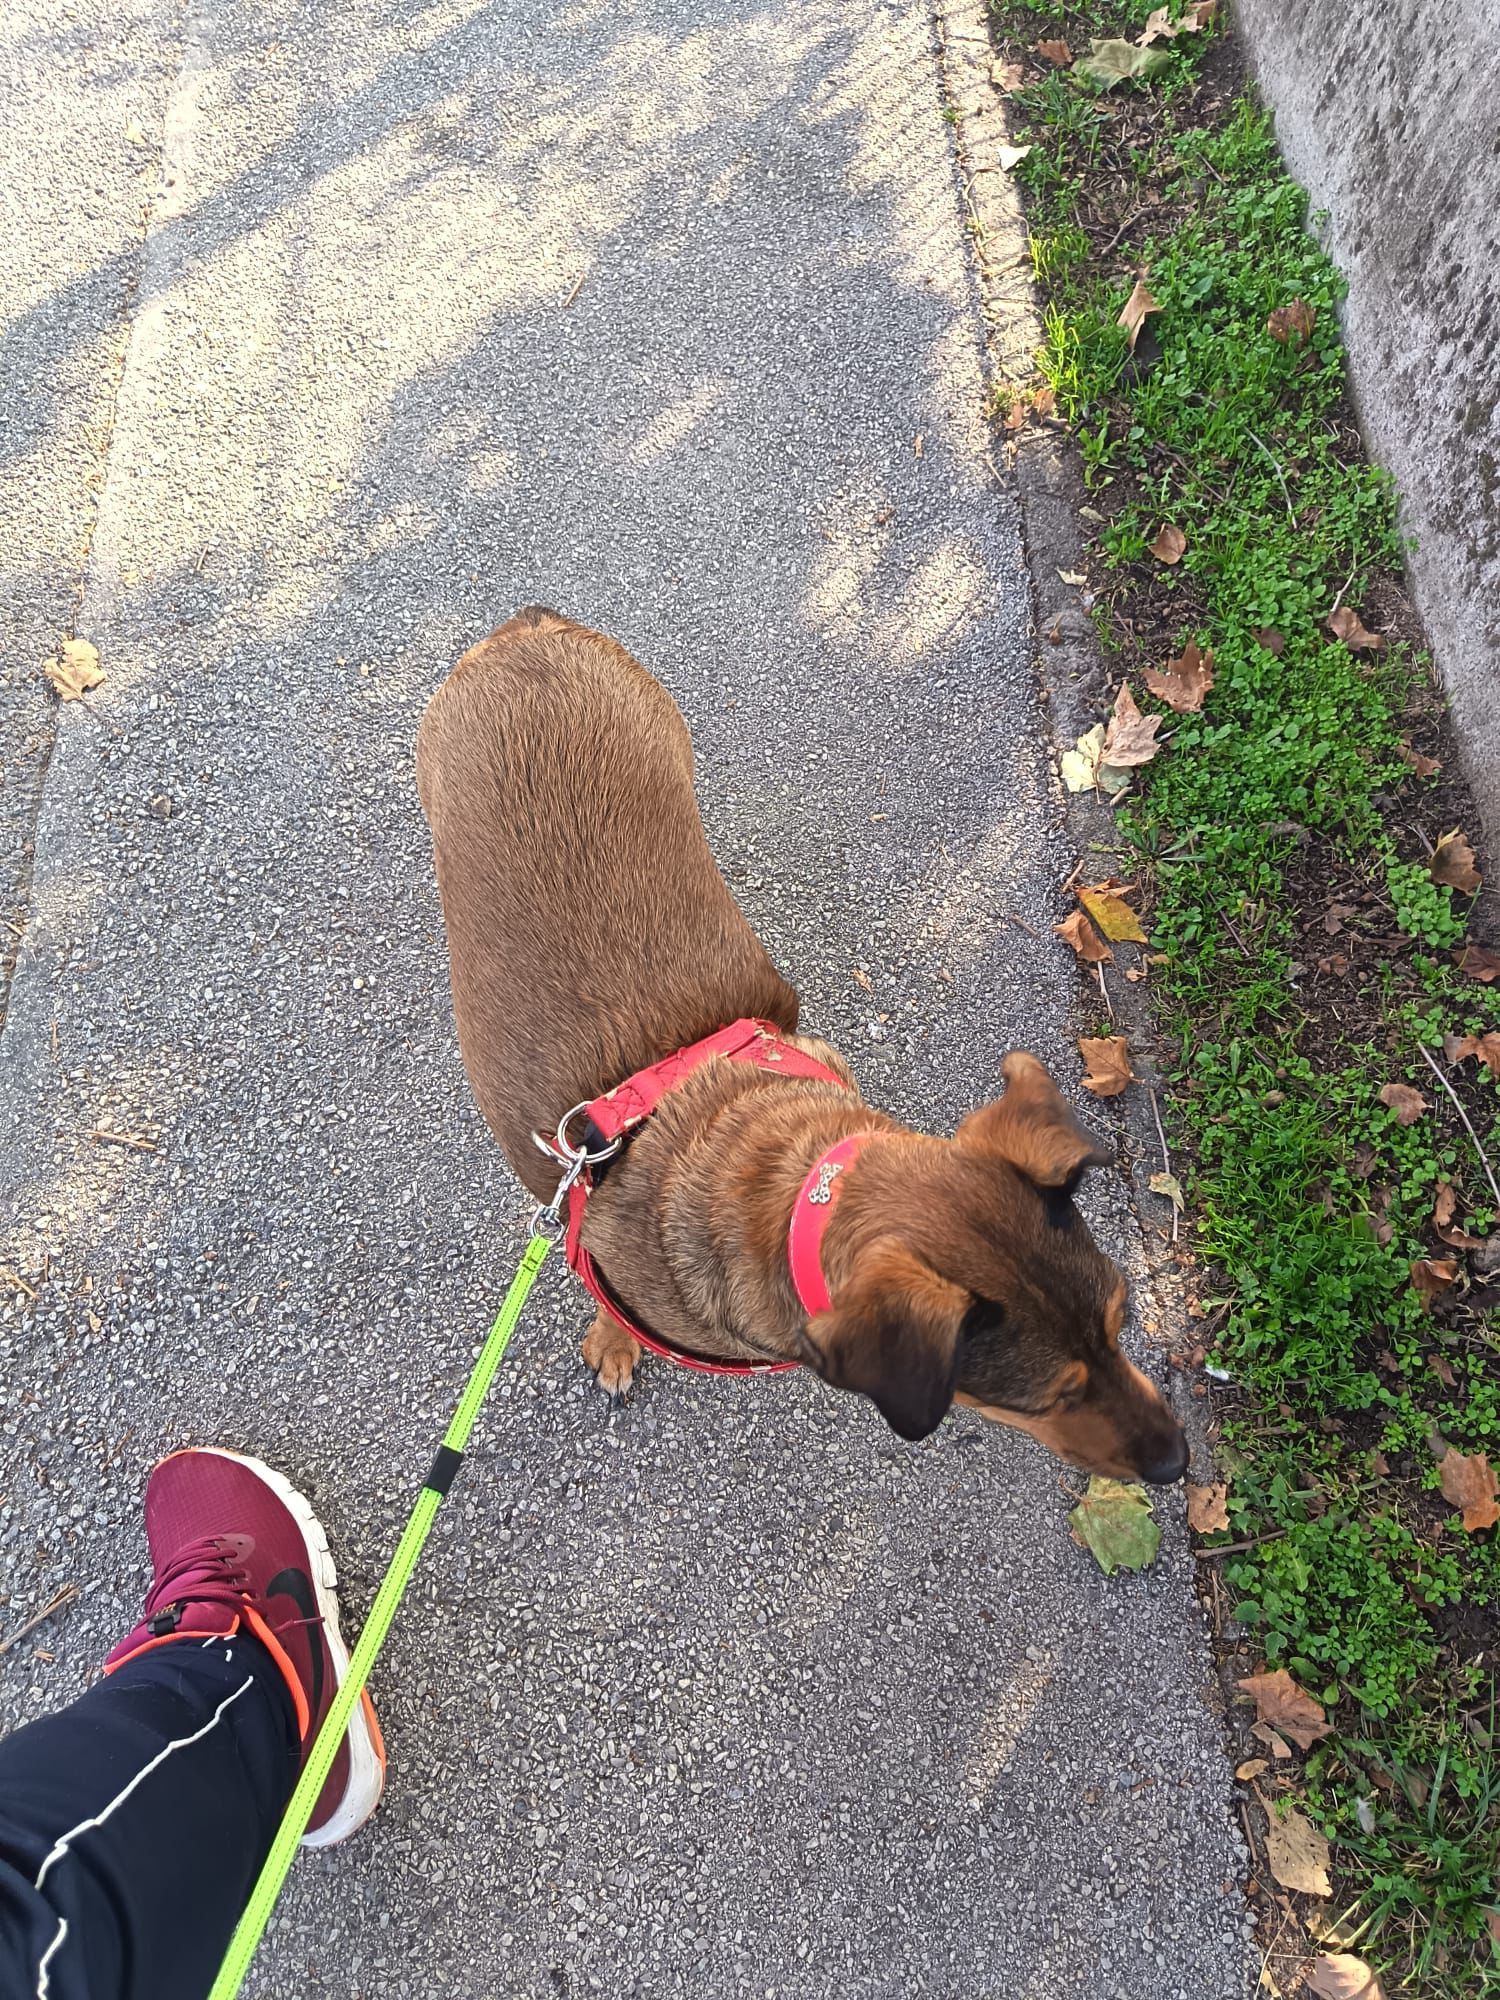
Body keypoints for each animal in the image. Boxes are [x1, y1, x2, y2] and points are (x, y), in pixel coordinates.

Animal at [416, 607, 1187, 1483]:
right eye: (1052, 1398)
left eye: (1123, 1322)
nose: (1178, 1463)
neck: (783, 1185)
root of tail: (527, 631)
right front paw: (613, 1342)